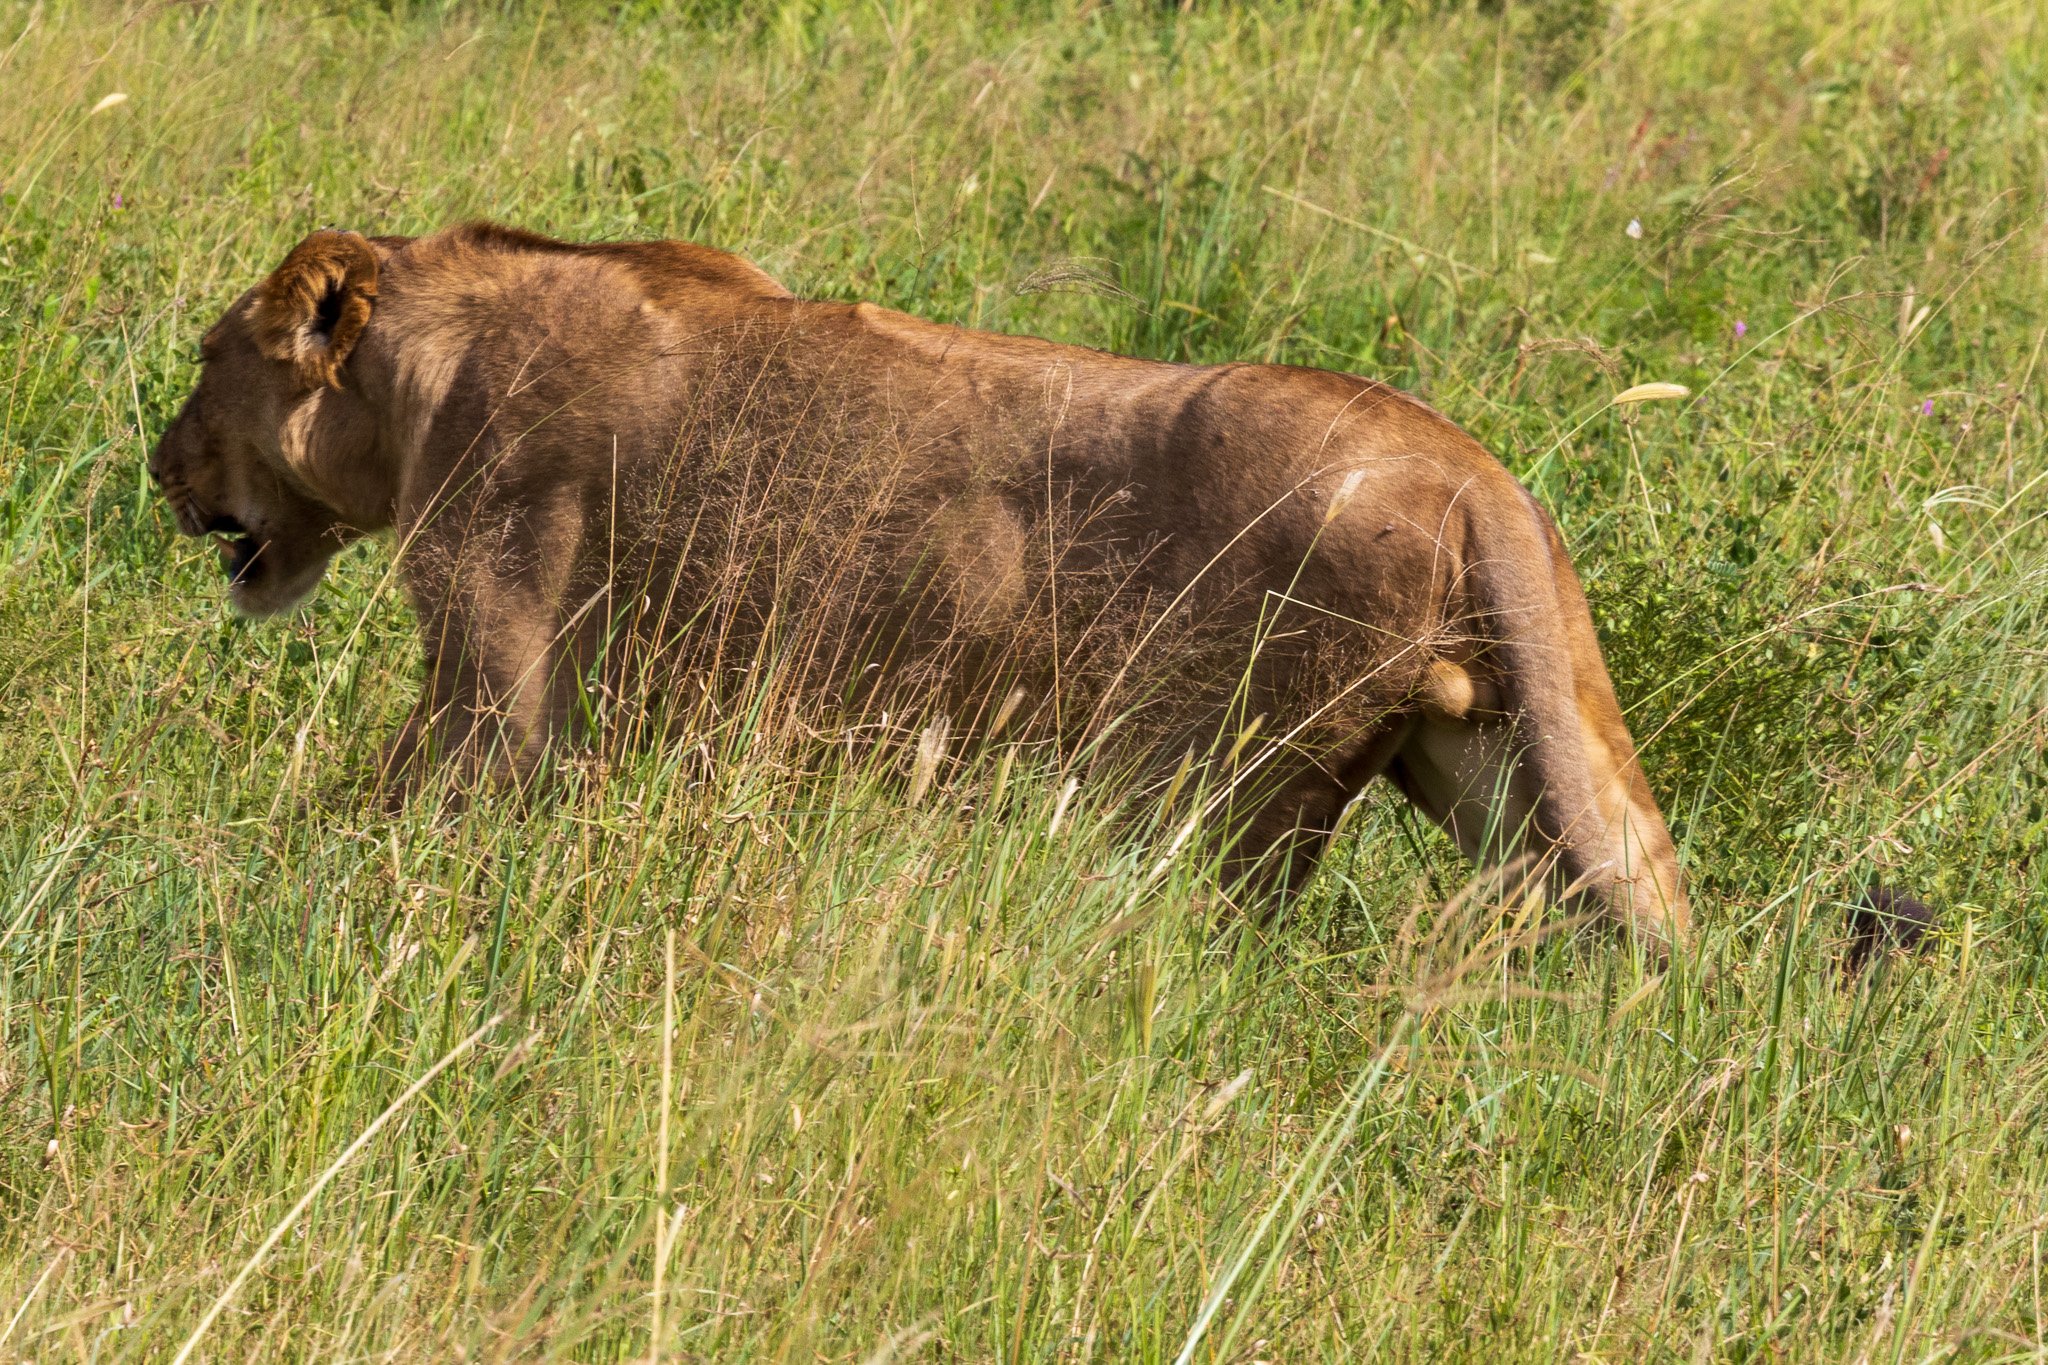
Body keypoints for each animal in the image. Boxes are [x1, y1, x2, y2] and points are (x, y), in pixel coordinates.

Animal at [148, 224, 1695, 949]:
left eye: (211, 362)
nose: (157, 465)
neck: (422, 377)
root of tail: (1479, 477)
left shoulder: (500, 676)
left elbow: (399, 816)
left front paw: (254, 890)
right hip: (1498, 769)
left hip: (1201, 777)